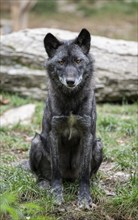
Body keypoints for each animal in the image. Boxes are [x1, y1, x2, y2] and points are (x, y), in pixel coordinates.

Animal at [29, 29, 103, 210]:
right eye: (61, 61)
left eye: (78, 60)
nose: (70, 82)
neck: (70, 99)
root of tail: (69, 177)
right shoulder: (54, 133)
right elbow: (56, 171)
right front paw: (56, 194)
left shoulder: (87, 134)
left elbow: (84, 173)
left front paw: (84, 197)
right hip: (36, 141)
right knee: (40, 174)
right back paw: (43, 183)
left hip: (98, 145)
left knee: (89, 174)